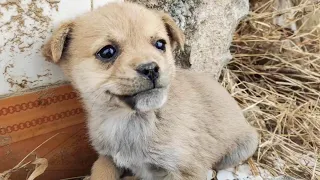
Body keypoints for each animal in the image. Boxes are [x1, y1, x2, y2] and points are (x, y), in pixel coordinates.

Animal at [42, 1, 258, 180]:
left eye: (160, 44)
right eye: (107, 52)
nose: (151, 69)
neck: (128, 120)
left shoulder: (185, 171)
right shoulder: (106, 159)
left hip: (242, 148)